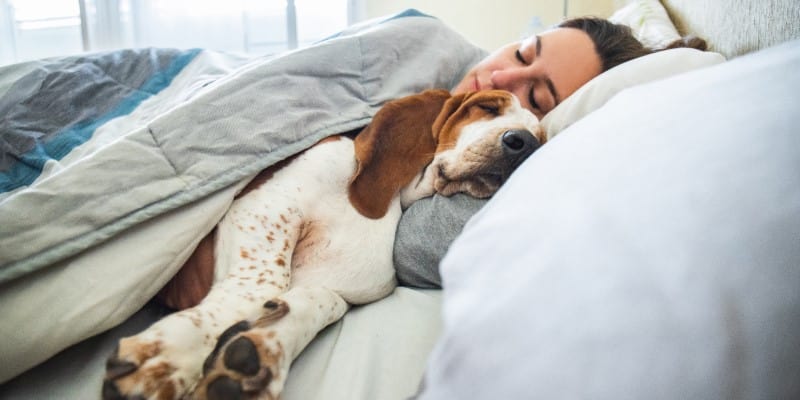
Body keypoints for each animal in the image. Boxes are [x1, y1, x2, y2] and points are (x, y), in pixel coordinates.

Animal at [101, 89, 544, 398]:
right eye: (487, 107)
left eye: (541, 135)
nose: (522, 143)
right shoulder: (263, 205)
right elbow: (262, 285)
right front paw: (172, 355)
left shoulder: (341, 289)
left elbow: (317, 303)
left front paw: (258, 353)